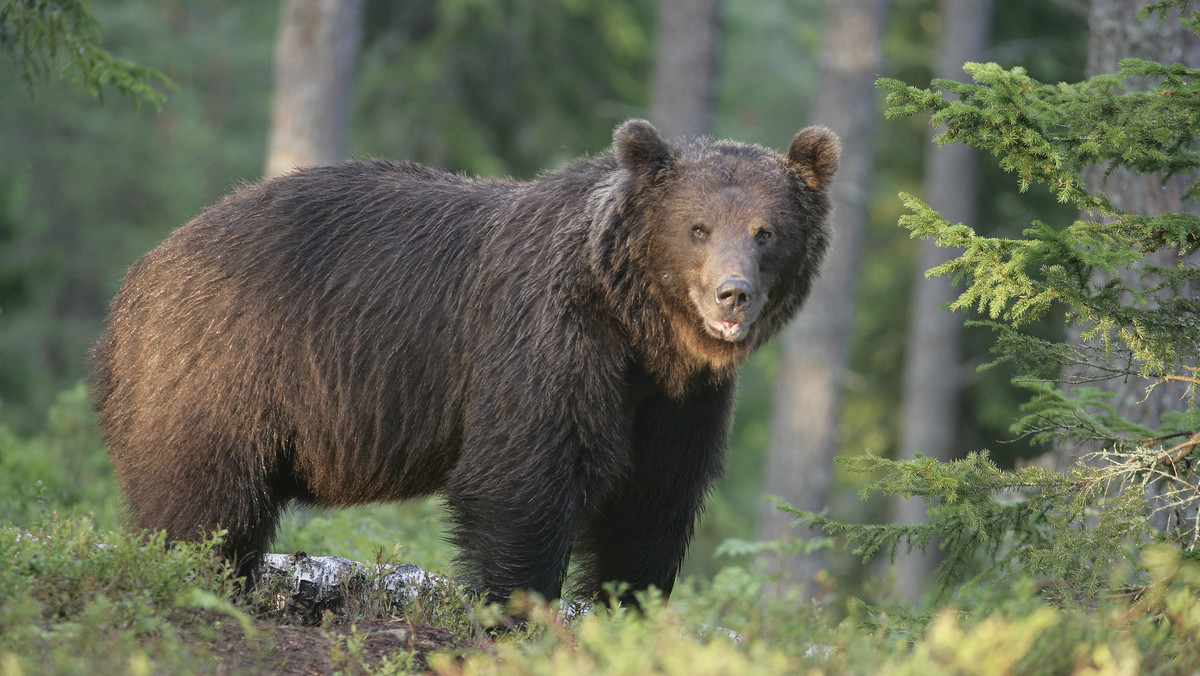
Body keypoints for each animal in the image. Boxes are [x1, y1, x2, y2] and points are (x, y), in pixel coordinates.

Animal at [91, 118, 835, 605]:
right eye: (697, 227)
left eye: (766, 231)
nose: (732, 294)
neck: (639, 329)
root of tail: (136, 280)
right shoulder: (543, 344)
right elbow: (522, 478)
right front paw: (522, 608)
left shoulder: (677, 400)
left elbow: (652, 501)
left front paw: (629, 607)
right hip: (224, 369)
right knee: (203, 500)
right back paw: (197, 579)